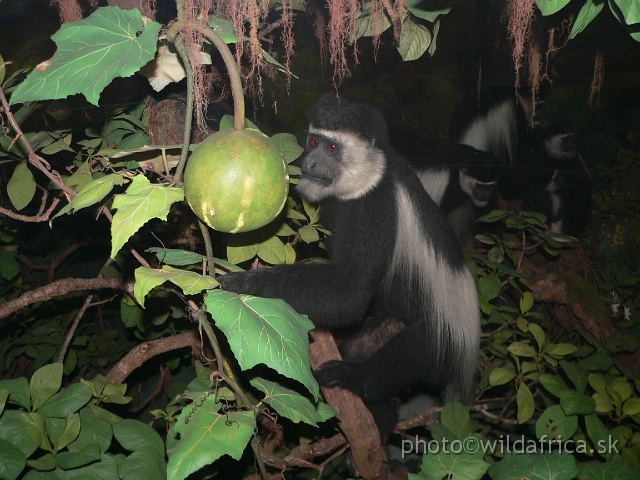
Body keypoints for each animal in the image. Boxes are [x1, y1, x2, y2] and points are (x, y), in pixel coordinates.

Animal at [220, 95, 480, 436]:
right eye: (313, 142)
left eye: (331, 148)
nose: (310, 163)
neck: (370, 176)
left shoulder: (376, 208)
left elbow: (352, 291)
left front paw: (248, 284)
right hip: (384, 325)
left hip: (441, 343)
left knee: (410, 352)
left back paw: (357, 381)